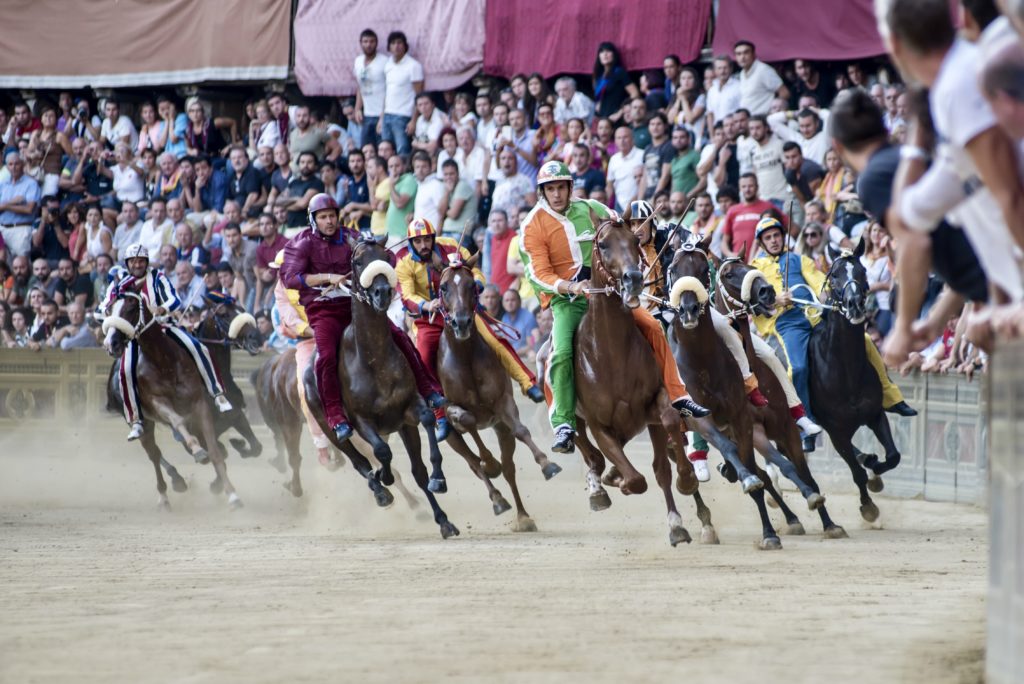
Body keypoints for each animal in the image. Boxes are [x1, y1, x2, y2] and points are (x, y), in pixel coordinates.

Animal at [432, 253, 561, 532]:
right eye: (444, 287)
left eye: (472, 285)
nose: (461, 323)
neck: (465, 358)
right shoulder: (450, 409)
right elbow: (468, 421)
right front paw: (490, 464)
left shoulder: (503, 403)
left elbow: (521, 430)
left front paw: (547, 464)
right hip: (450, 436)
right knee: (472, 462)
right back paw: (497, 498)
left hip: (500, 428)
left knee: (509, 467)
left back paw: (523, 516)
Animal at [573, 210, 716, 548]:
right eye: (602, 243)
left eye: (633, 241)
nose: (633, 278)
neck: (610, 353)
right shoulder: (599, 423)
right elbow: (636, 478)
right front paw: (621, 482)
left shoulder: (655, 404)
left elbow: (665, 458)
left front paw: (681, 502)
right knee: (586, 448)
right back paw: (600, 486)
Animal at [667, 237, 843, 548]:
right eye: (674, 269)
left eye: (703, 270)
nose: (766, 290)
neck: (704, 361)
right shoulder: (705, 418)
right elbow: (751, 472)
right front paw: (768, 527)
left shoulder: (768, 424)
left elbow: (797, 469)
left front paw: (825, 520)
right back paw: (704, 520)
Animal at [811, 241, 901, 524]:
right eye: (834, 276)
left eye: (862, 271)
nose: (855, 305)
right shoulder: (835, 430)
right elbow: (856, 472)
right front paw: (868, 507)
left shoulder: (875, 414)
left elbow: (893, 457)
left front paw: (875, 469)